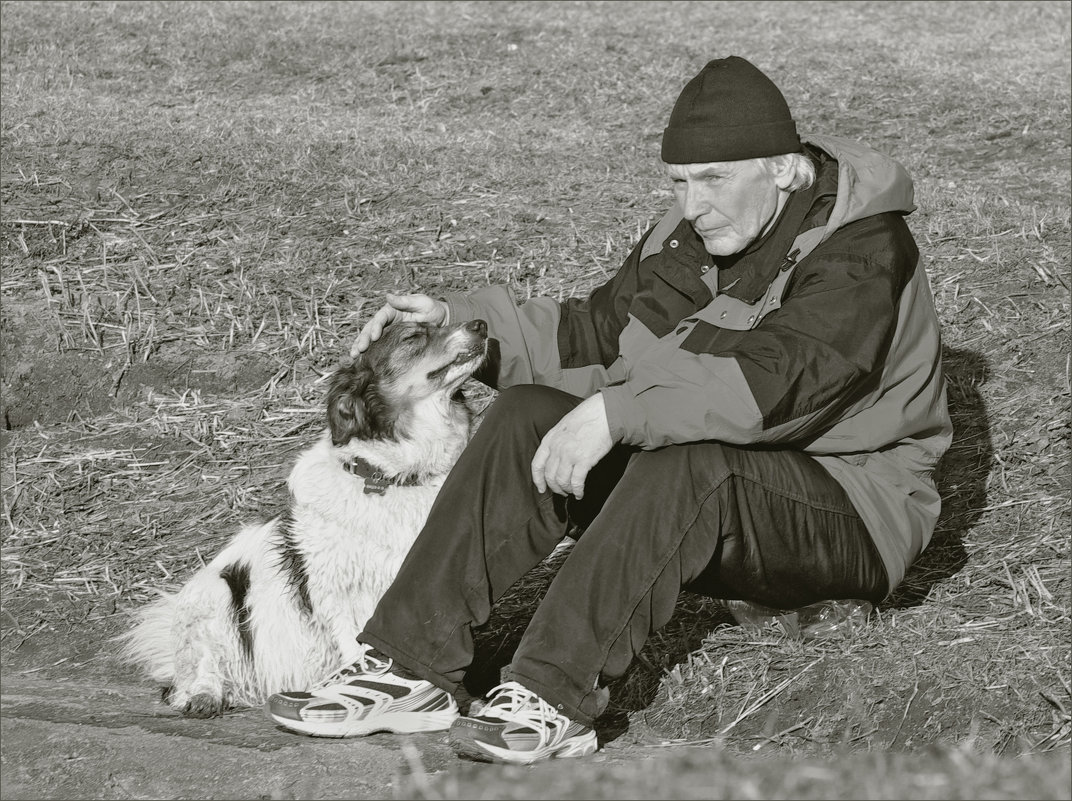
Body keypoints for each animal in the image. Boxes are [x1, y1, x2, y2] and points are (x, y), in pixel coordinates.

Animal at [119, 317, 488, 716]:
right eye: (414, 337)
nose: (481, 324)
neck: (396, 478)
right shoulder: (340, 596)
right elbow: (361, 651)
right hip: (214, 593)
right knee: (196, 672)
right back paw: (205, 695)